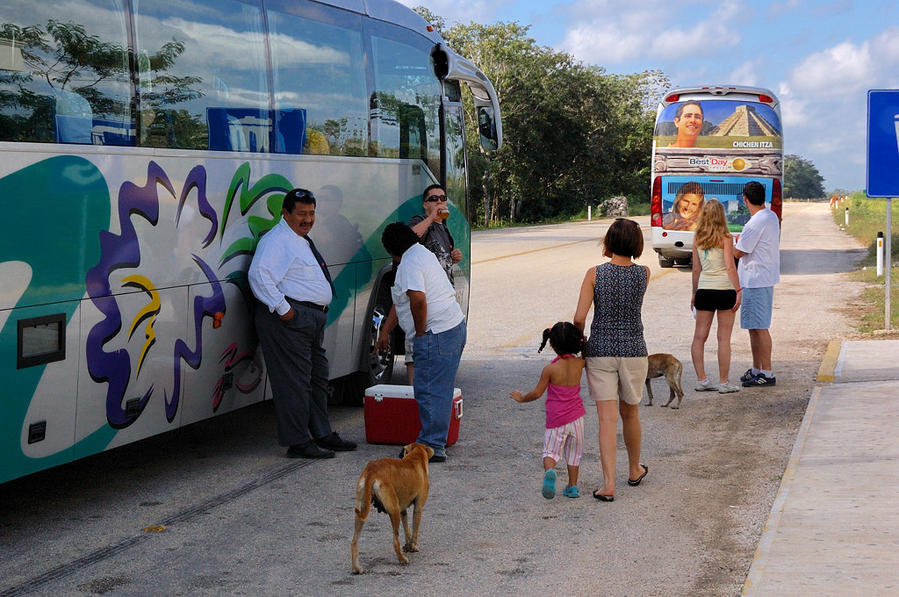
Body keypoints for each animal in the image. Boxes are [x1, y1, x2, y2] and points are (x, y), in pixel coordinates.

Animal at [352, 442, 436, 572]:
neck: (416, 456)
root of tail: (371, 469)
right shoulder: (418, 508)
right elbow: (415, 530)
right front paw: (413, 546)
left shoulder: (403, 510)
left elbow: (407, 529)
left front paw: (408, 545)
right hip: (394, 512)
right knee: (395, 541)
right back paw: (402, 559)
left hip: (361, 512)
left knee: (354, 541)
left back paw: (357, 568)